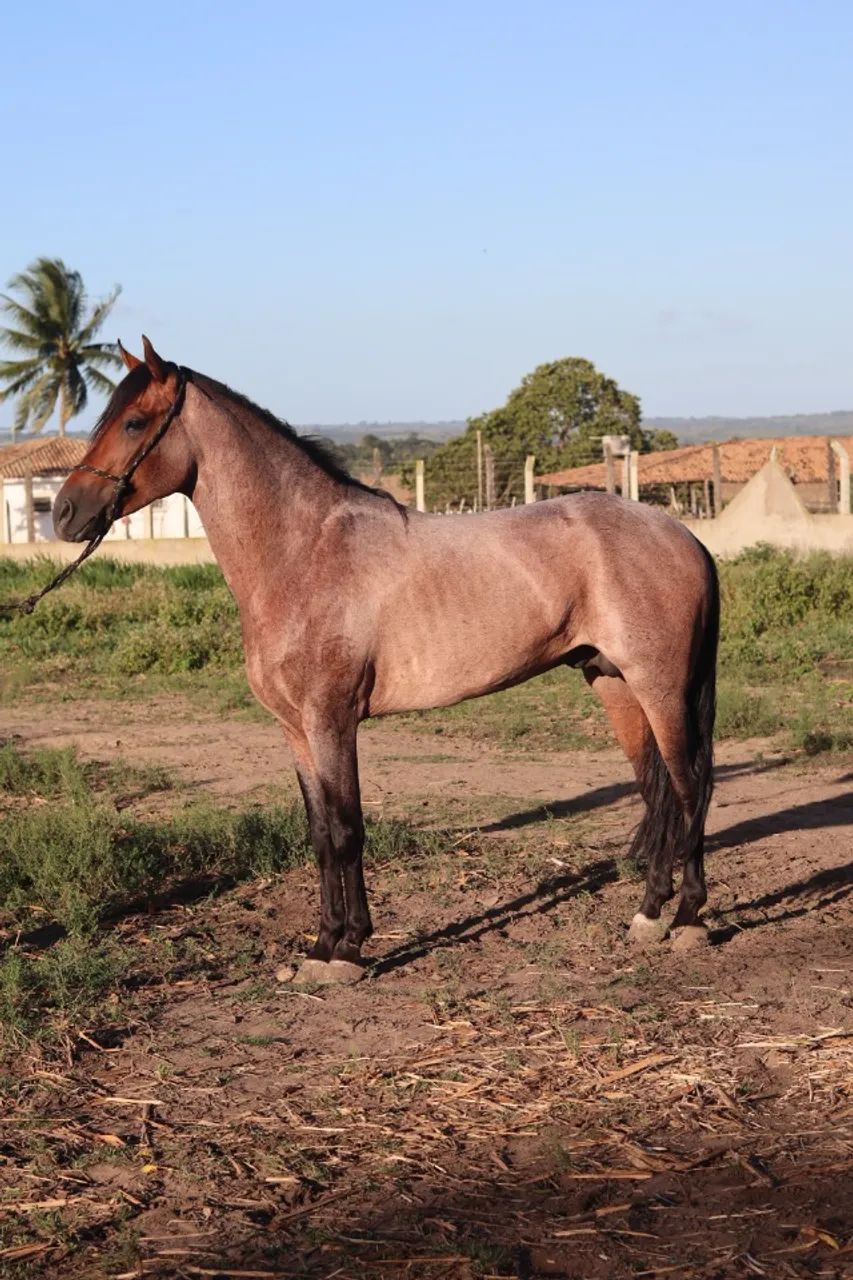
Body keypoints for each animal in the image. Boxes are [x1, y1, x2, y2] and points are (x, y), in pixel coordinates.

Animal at [54, 337, 719, 981]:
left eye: (135, 422)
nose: (63, 512)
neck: (304, 551)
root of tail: (682, 536)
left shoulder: (332, 721)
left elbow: (348, 830)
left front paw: (350, 950)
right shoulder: (296, 730)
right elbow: (321, 834)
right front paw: (323, 945)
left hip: (659, 687)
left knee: (690, 788)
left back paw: (688, 919)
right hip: (614, 684)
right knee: (659, 792)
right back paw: (649, 914)